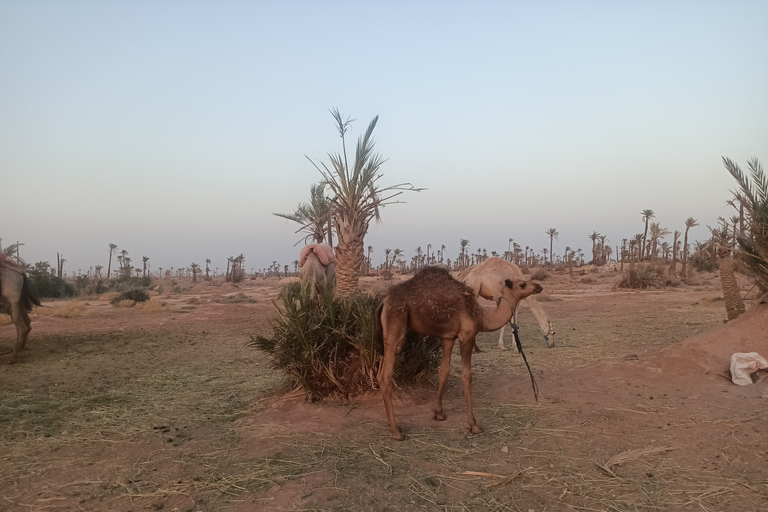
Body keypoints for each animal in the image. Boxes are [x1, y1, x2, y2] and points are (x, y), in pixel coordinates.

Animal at [376, 266, 544, 438]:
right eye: (522, 284)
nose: (538, 286)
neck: (483, 316)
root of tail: (384, 301)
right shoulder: (466, 336)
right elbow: (466, 376)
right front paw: (474, 425)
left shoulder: (449, 337)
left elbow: (444, 370)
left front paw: (438, 413)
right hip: (397, 322)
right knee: (385, 376)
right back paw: (396, 431)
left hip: (386, 334)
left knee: (380, 371)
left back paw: (392, 425)